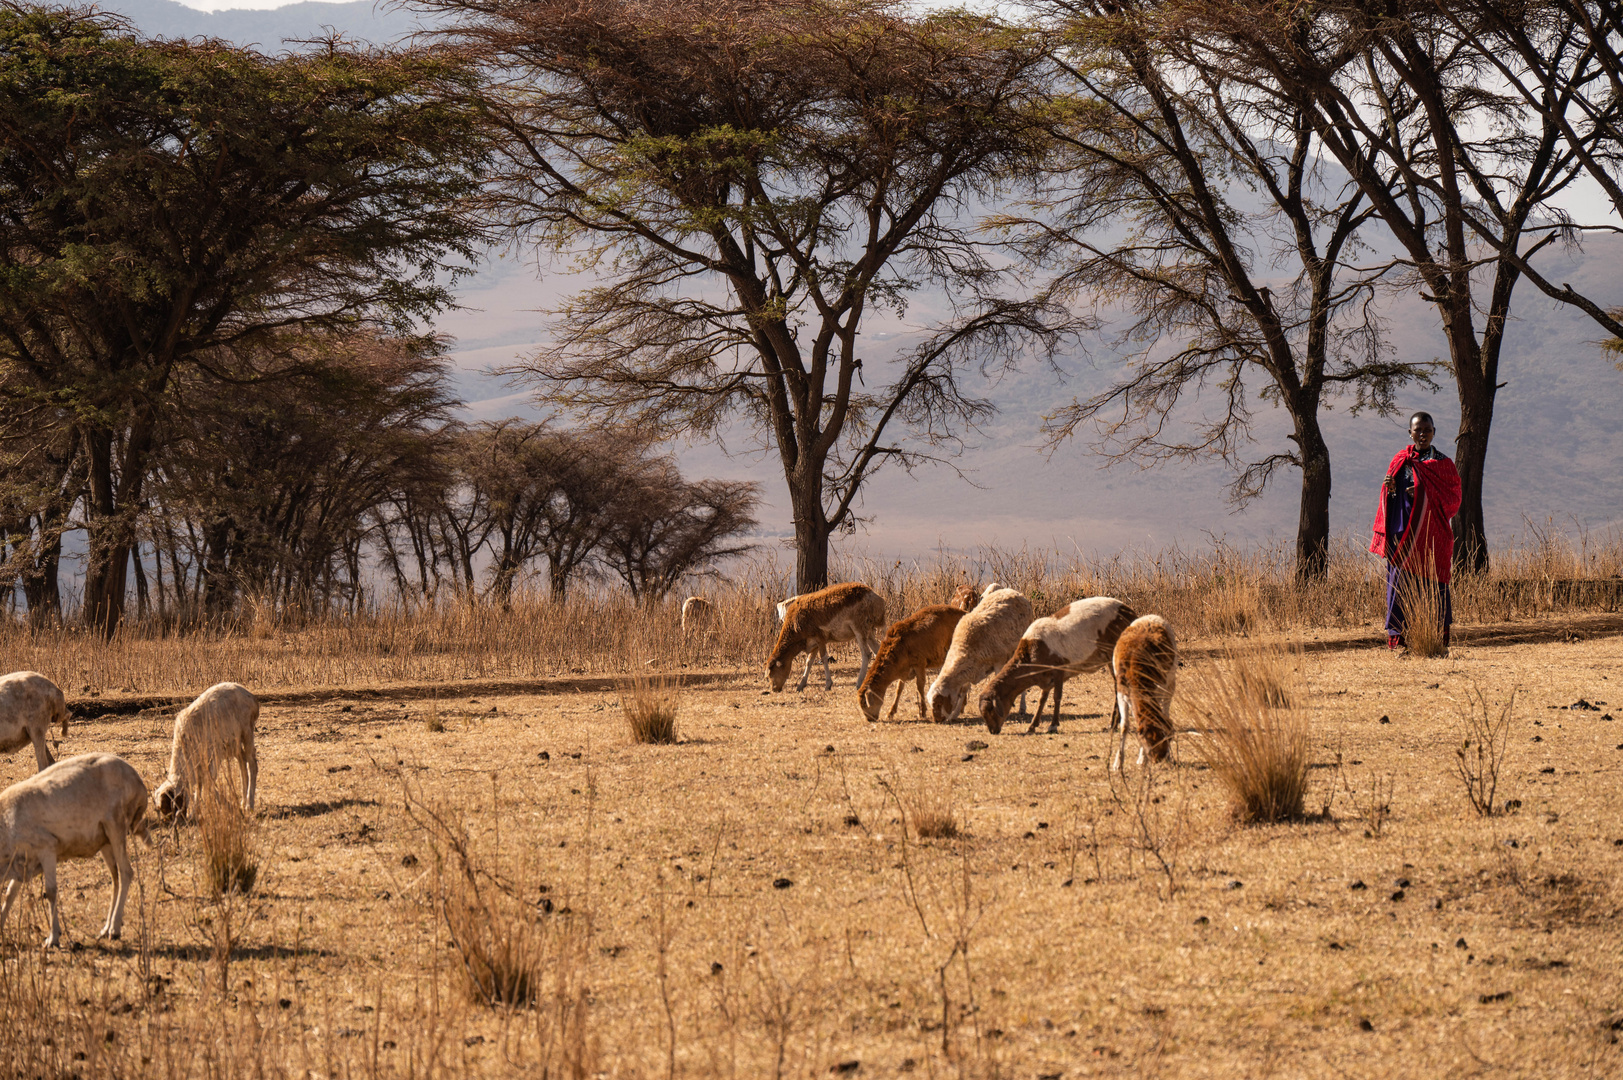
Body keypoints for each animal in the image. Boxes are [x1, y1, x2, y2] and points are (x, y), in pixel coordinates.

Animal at [0, 750, 150, 941]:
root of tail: (138, 782)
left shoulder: (47, 849)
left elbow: (50, 891)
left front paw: (53, 938)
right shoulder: (23, 863)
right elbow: (9, 895)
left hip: (116, 826)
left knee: (126, 873)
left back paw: (114, 929)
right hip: (104, 839)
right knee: (115, 877)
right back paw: (105, 928)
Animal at [152, 682, 259, 818]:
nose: (180, 820)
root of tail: (251, 696)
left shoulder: (214, 755)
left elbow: (207, 781)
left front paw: (231, 808)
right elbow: (200, 783)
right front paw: (194, 812)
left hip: (247, 732)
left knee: (252, 763)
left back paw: (249, 805)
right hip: (234, 744)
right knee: (242, 764)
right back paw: (243, 802)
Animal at [921, 584, 1032, 721]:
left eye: (938, 704)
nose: (937, 721)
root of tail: (1012, 591)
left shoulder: (998, 662)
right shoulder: (970, 667)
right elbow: (963, 690)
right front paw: (955, 714)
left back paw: (1022, 708)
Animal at [973, 594, 1142, 737]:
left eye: (990, 710)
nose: (993, 731)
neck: (1030, 655)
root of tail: (1131, 614)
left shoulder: (1058, 670)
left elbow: (1057, 697)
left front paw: (1053, 725)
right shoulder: (1046, 678)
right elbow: (1042, 700)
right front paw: (1032, 726)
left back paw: (1114, 723)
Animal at [1103, 613, 1181, 766]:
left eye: (1167, 738)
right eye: (1149, 740)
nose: (1159, 759)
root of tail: (1152, 616)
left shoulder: (1157, 689)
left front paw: (1141, 759)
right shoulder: (1121, 693)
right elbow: (1124, 726)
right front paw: (1117, 763)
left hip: (1170, 683)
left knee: (1166, 710)